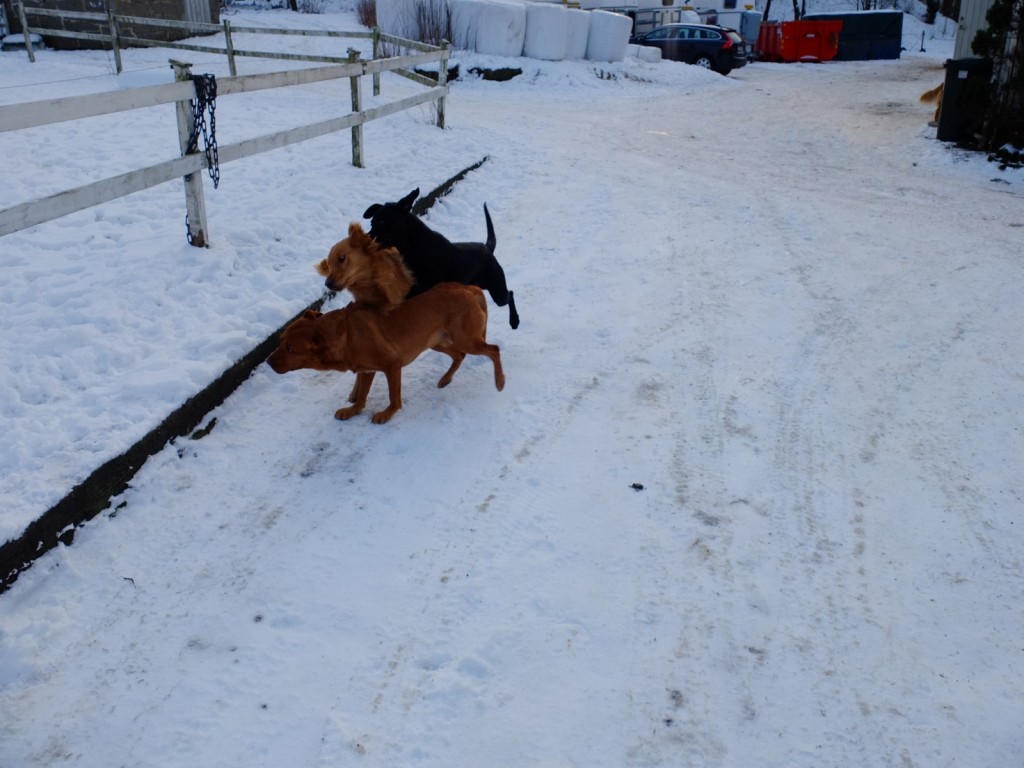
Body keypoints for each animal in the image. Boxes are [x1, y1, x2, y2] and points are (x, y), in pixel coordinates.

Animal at [264, 284, 503, 428]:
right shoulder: (366, 370)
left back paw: (500, 382)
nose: (267, 361)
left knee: (493, 349)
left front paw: (387, 414)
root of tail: (467, 288)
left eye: (291, 349)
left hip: (465, 339)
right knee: (459, 355)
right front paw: (353, 410)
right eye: (280, 341)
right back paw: (445, 379)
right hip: (436, 341)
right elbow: (361, 396)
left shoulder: (392, 365)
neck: (346, 334)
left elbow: (393, 397)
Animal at [364, 189, 520, 331]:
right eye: (372, 223)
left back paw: (514, 321)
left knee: (510, 294)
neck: (415, 249)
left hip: (497, 290)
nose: (366, 240)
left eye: (383, 222)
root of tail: (487, 248)